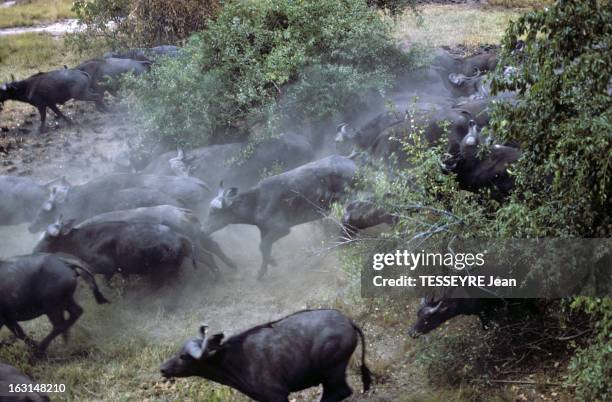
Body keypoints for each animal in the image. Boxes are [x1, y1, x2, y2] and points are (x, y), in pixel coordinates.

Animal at [160, 310, 370, 402]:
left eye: (184, 356)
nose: (162, 368)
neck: (236, 359)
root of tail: (348, 322)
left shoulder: (277, 396)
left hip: (332, 372)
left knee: (340, 392)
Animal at [206, 155, 356, 278]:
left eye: (213, 212)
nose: (203, 229)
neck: (257, 202)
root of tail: (348, 160)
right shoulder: (264, 230)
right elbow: (264, 247)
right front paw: (269, 264)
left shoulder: (282, 229)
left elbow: (263, 245)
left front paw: (263, 270)